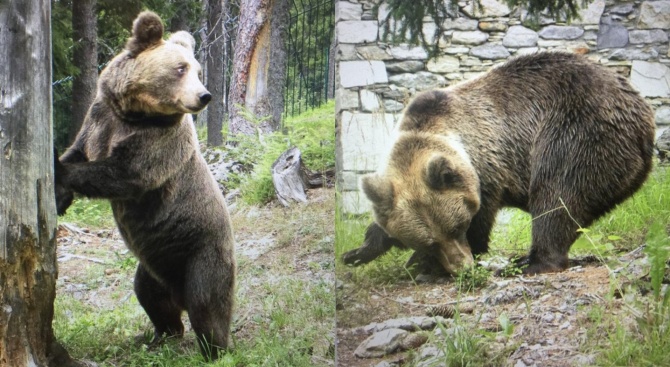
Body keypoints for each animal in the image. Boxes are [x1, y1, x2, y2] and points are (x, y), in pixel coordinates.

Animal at [56, 11, 238, 362]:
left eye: (197, 70)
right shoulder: (99, 118)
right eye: (181, 68)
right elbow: (78, 149)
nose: (204, 96)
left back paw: (214, 350)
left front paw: (59, 173)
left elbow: (124, 173)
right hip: (154, 268)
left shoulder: (158, 141)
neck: (135, 113)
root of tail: (178, 292)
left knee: (207, 304)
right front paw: (59, 196)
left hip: (202, 252)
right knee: (150, 297)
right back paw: (159, 335)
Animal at [346, 51, 656, 276]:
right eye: (430, 240)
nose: (462, 267)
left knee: (557, 196)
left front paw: (426, 265)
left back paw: (532, 262)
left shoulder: (487, 168)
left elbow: (483, 219)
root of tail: (643, 114)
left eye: (458, 227)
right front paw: (358, 252)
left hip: (577, 132)